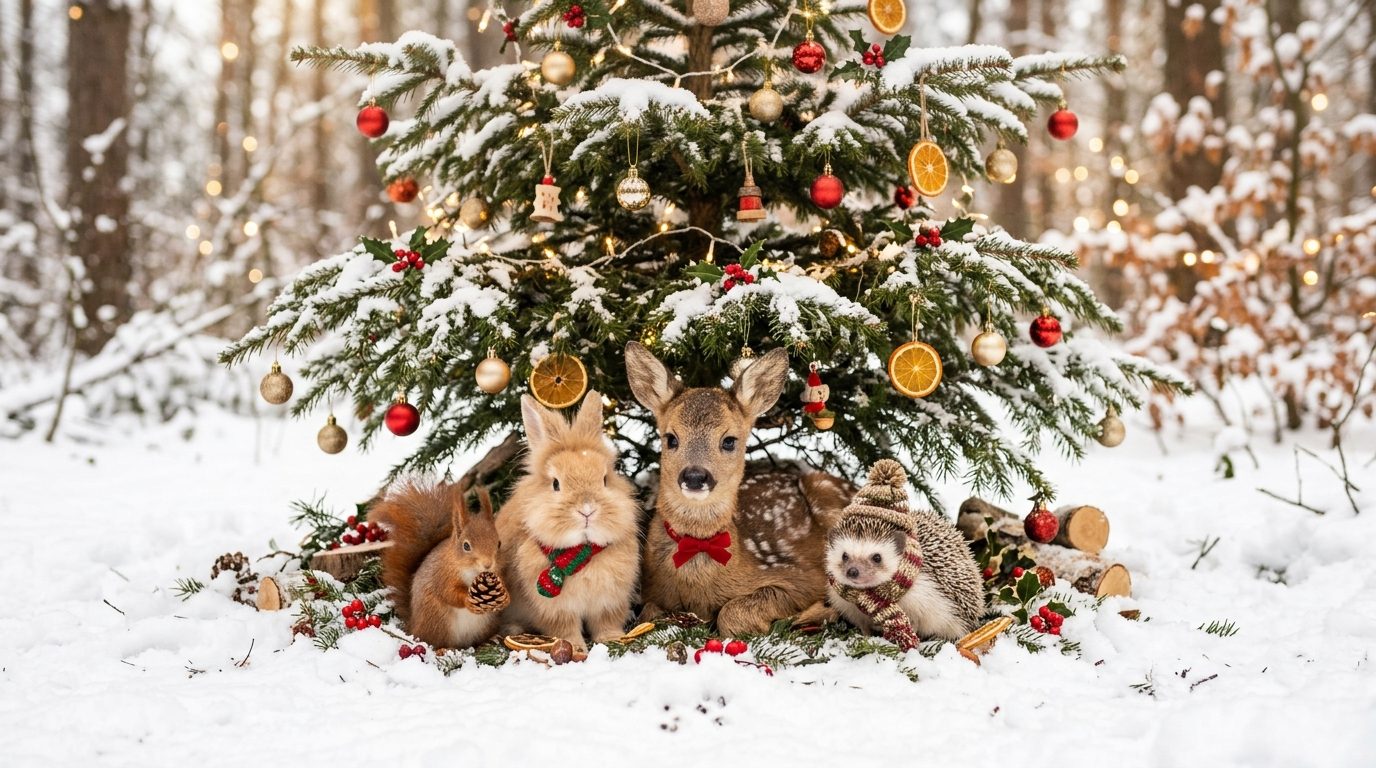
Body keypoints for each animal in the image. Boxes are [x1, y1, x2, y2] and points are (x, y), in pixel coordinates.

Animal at [496, 390, 641, 650]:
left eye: (605, 480)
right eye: (556, 484)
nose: (587, 510)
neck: (579, 554)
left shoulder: (609, 601)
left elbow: (605, 622)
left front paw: (611, 639)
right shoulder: (554, 610)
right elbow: (565, 629)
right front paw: (575, 647)